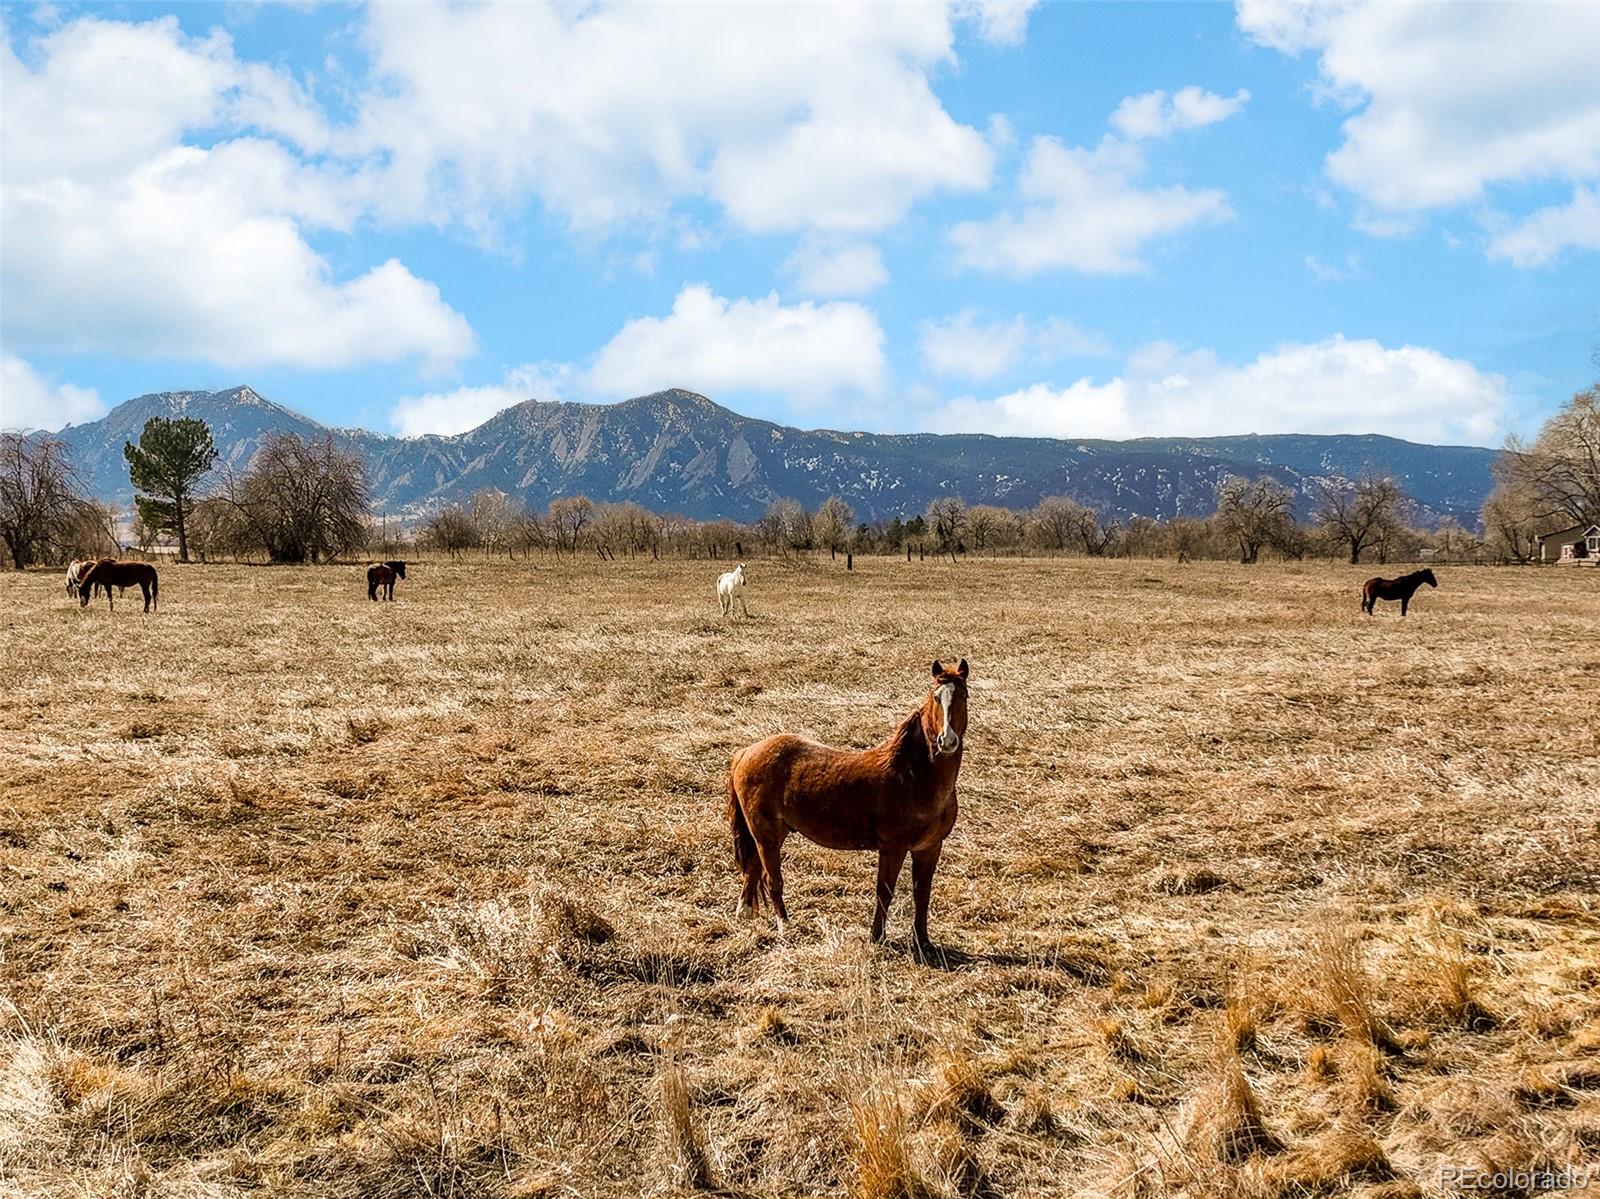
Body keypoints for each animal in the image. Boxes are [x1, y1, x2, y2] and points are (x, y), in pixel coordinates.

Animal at [729, 656, 972, 954]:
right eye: (936, 697)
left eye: (964, 695)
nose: (947, 740)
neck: (913, 775)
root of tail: (745, 753)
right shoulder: (893, 847)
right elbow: (885, 891)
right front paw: (877, 937)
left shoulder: (930, 847)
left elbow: (922, 893)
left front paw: (923, 940)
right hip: (767, 835)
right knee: (773, 880)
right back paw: (786, 927)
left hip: (772, 832)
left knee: (753, 866)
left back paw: (745, 913)